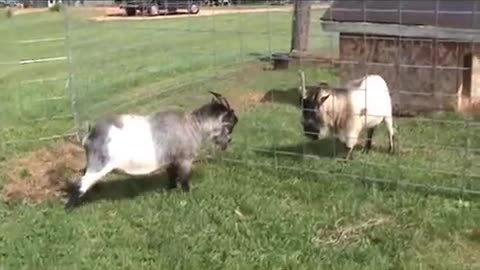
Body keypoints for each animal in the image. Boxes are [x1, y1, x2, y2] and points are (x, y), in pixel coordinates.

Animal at [66, 92, 239, 210]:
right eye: (231, 123)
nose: (229, 141)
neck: (193, 125)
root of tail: (89, 135)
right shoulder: (185, 159)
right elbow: (184, 179)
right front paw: (188, 194)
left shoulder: (171, 161)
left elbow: (171, 177)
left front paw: (170, 190)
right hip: (99, 163)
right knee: (81, 183)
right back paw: (69, 208)